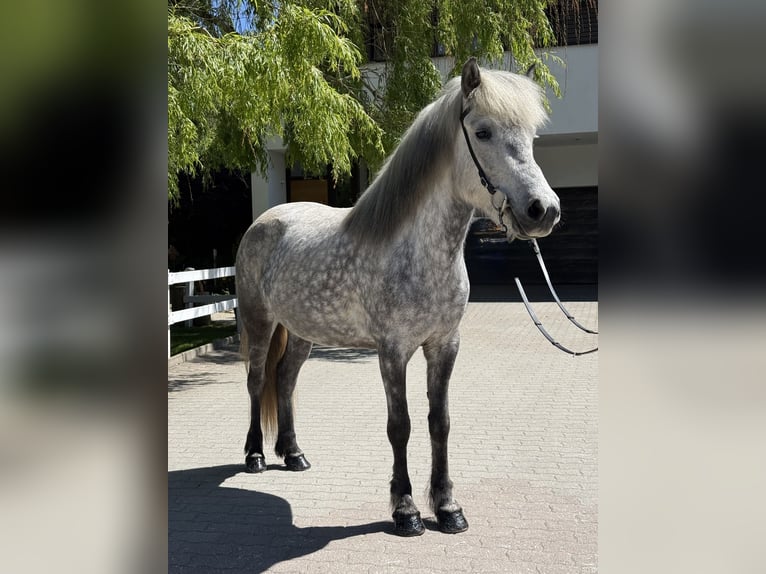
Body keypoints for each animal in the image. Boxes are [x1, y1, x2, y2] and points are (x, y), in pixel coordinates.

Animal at [235, 58, 560, 537]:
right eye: (482, 132)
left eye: (532, 138)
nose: (544, 210)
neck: (416, 252)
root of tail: (265, 220)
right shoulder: (393, 350)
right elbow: (400, 426)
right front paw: (405, 509)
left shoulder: (444, 345)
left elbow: (439, 423)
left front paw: (447, 507)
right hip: (260, 321)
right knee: (258, 380)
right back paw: (255, 454)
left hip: (302, 332)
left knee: (286, 380)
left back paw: (294, 455)